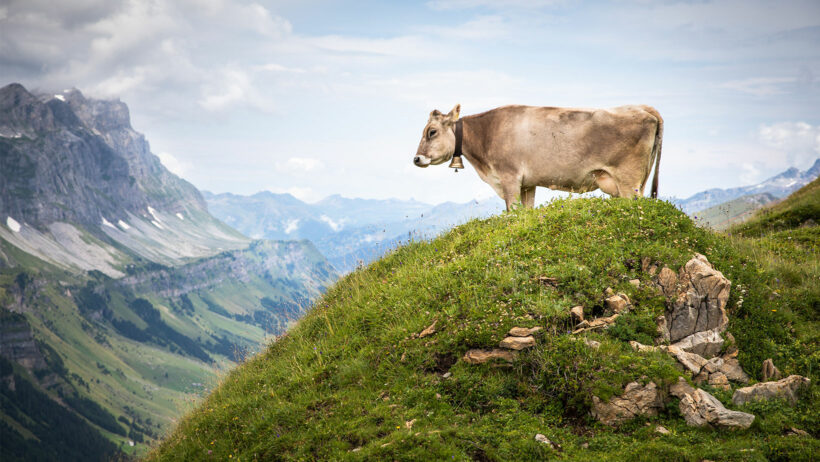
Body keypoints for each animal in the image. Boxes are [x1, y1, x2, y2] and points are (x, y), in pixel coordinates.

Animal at [414, 104, 664, 210]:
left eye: (431, 132)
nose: (416, 159)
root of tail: (643, 108)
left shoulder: (510, 178)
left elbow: (512, 213)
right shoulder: (528, 184)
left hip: (629, 181)